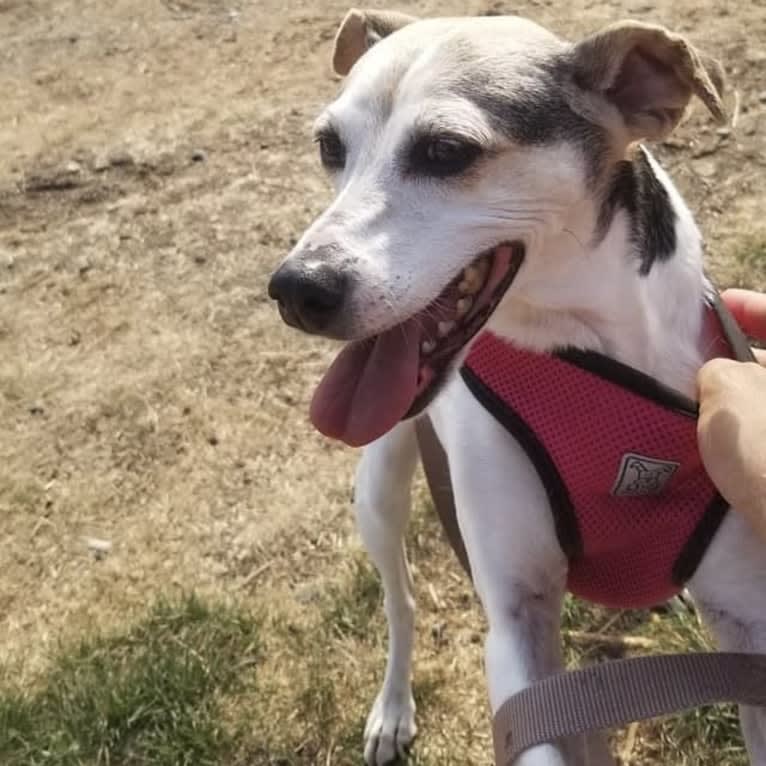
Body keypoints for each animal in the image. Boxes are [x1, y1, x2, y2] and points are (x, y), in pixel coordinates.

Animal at [270, 12, 766, 766]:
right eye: (331, 147)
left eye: (446, 151)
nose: (296, 289)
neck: (589, 346)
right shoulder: (516, 625)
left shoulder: (746, 612)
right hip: (378, 487)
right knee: (399, 601)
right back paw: (392, 707)